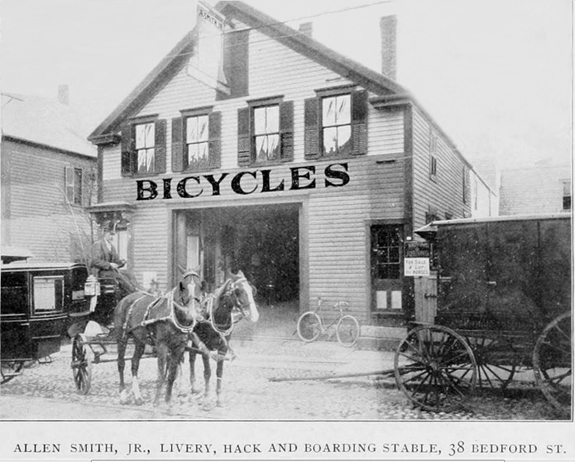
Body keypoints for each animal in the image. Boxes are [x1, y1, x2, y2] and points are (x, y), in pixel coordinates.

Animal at [113, 270, 204, 408]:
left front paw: (168, 400)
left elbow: (171, 375)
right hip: (121, 337)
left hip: (139, 340)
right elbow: (162, 374)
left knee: (134, 363)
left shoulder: (179, 347)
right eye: (182, 286)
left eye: (201, 285)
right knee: (121, 363)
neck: (172, 315)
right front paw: (156, 401)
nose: (194, 314)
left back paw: (138, 396)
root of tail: (126, 299)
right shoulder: (162, 346)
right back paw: (123, 395)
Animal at [188, 270, 260, 408]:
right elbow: (207, 372)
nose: (255, 315)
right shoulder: (205, 347)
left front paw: (219, 398)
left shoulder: (223, 348)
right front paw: (206, 397)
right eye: (238, 290)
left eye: (251, 289)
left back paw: (193, 387)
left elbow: (219, 372)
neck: (216, 317)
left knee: (191, 356)